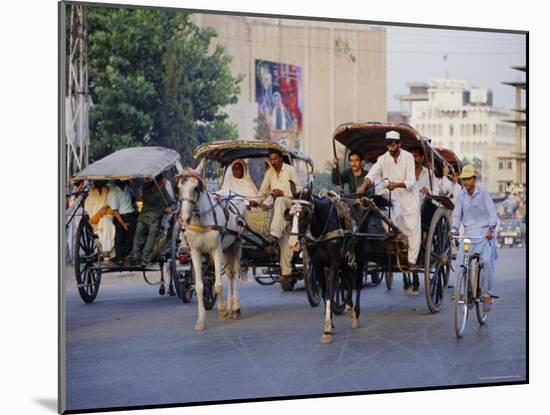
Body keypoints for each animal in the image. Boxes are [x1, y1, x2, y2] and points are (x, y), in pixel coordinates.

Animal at [178, 169, 247, 332]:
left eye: (196, 188)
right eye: (178, 188)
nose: (184, 218)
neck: (202, 220)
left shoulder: (216, 250)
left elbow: (218, 285)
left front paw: (222, 311)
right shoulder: (195, 252)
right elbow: (199, 286)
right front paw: (200, 321)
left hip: (237, 244)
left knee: (236, 272)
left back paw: (235, 307)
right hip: (226, 248)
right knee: (229, 274)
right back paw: (230, 306)